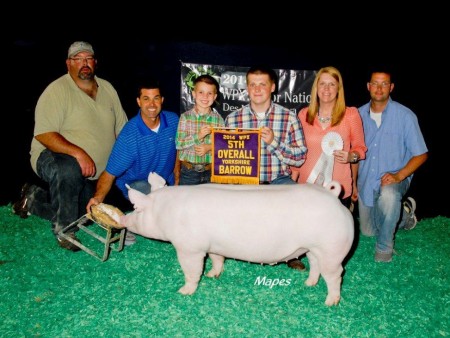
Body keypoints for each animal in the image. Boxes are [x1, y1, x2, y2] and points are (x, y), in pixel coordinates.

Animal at [120, 173, 356, 304]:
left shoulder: (189, 248)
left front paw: (184, 291)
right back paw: (308, 284)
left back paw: (330, 302)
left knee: (336, 274)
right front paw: (212, 275)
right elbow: (217, 260)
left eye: (137, 209)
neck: (166, 211)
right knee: (315, 265)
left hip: (332, 248)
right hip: (314, 248)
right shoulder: (213, 246)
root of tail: (334, 197)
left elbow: (192, 270)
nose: (123, 218)